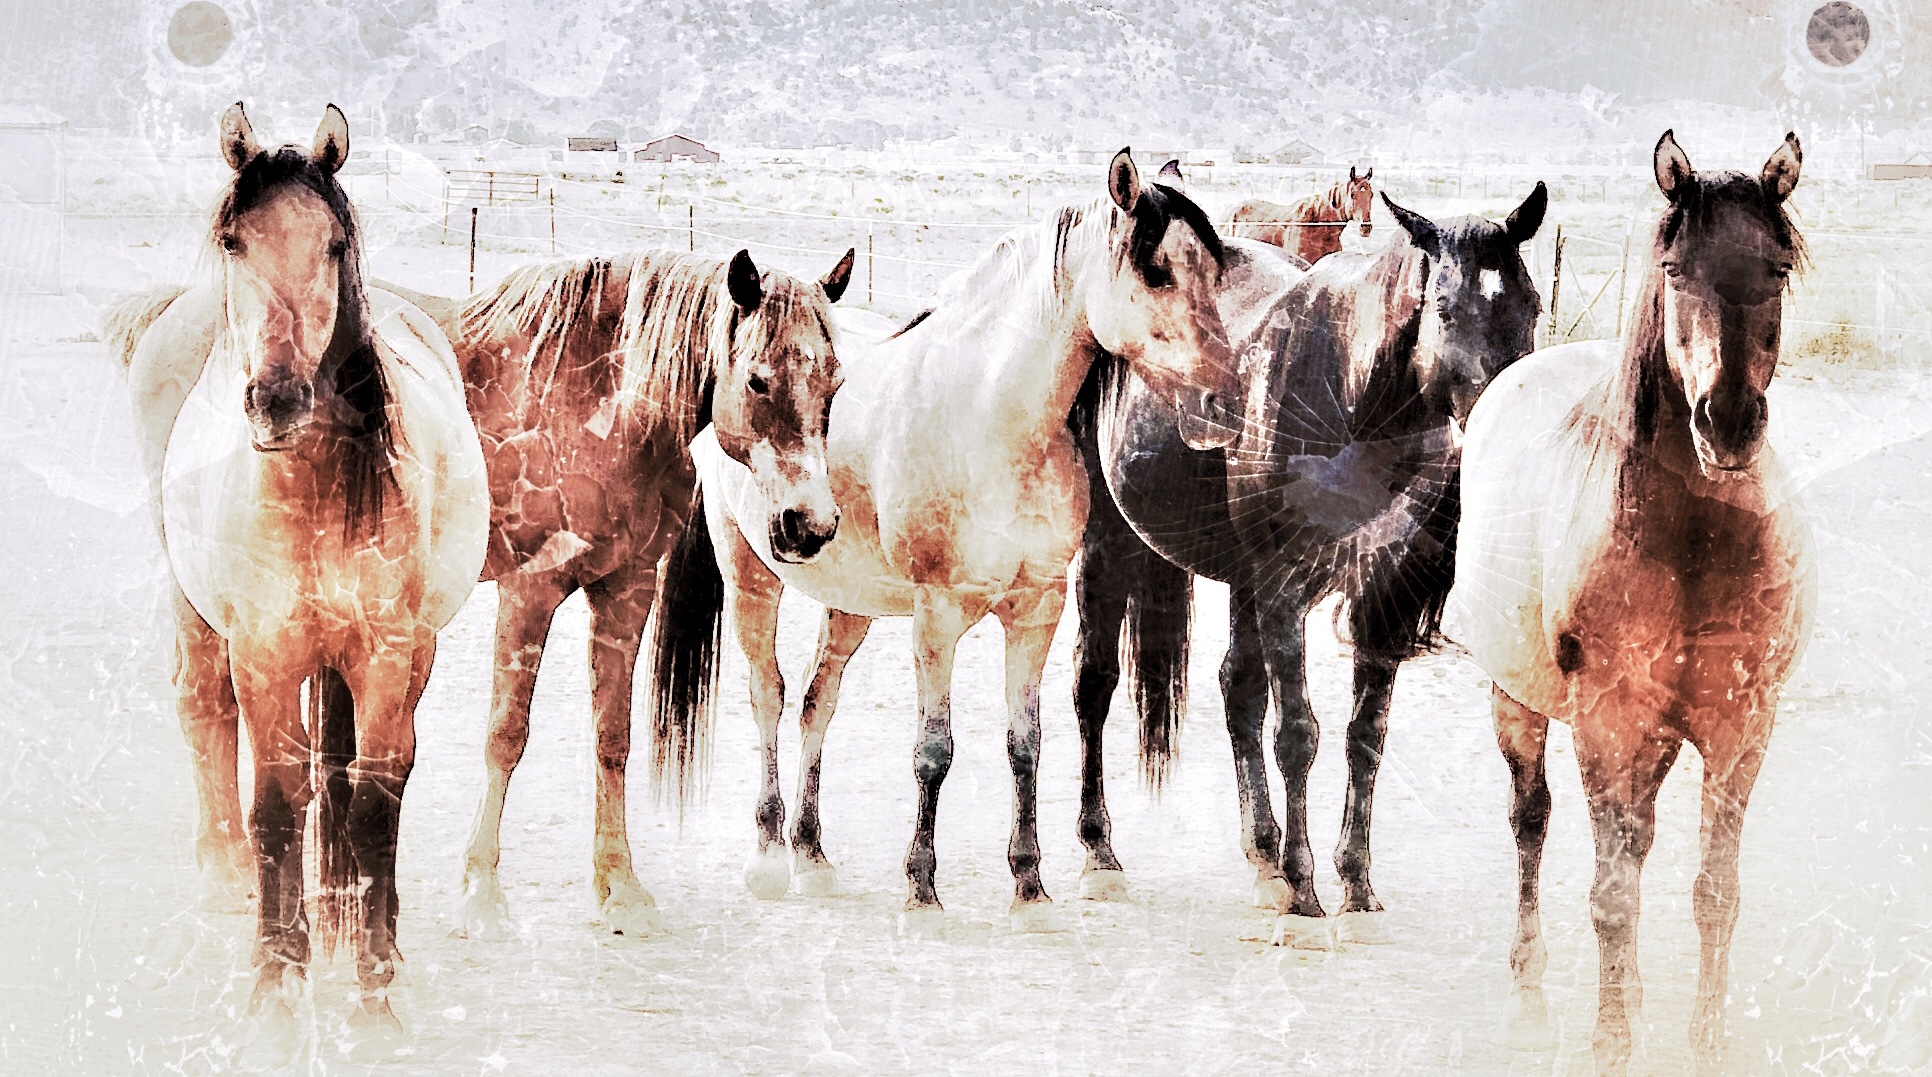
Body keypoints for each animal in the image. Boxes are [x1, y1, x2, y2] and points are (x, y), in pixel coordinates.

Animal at [446, 241, 861, 931]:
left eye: (835, 383)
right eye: (757, 380)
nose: (810, 524)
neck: (588, 399)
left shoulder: (626, 588)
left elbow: (613, 737)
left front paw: (619, 886)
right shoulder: (527, 591)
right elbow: (505, 736)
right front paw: (480, 887)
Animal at [649, 148, 1244, 924]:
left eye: (1215, 270)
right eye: (1157, 271)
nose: (1226, 401)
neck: (993, 424)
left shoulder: (1037, 610)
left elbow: (1025, 744)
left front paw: (1029, 883)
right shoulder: (937, 615)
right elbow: (934, 749)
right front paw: (921, 883)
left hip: (851, 603)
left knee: (816, 701)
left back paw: (812, 854)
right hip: (752, 576)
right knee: (767, 696)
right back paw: (770, 856)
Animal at [1074, 180, 1553, 935]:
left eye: (1529, 305)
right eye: (1446, 308)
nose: (1509, 420)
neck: (1352, 403)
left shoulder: (1382, 599)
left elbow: (1365, 734)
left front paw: (1353, 881)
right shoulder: (1283, 587)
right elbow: (1298, 732)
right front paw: (1304, 889)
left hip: (1239, 578)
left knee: (1237, 690)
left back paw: (1261, 857)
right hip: (1110, 544)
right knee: (1093, 684)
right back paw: (1101, 853)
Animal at [1445, 130, 1816, 1067]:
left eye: (1778, 265)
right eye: (1675, 266)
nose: (1729, 420)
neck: (1692, 543)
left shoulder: (1742, 724)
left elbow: (1715, 890)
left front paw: (1706, 1041)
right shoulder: (1608, 723)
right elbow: (1612, 894)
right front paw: (1612, 1041)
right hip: (1521, 704)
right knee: (1531, 821)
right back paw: (1530, 988)